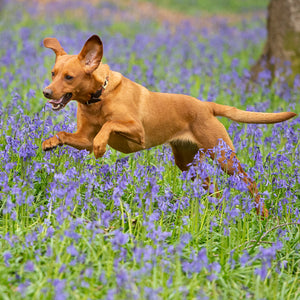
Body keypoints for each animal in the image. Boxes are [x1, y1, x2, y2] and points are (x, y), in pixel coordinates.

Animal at [42, 35, 298, 218]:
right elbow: (63, 134)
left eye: (69, 77)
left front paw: (101, 145)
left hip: (224, 156)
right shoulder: (82, 138)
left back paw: (263, 216)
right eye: (53, 73)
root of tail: (206, 106)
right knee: (215, 190)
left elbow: (109, 125)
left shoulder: (137, 133)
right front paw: (49, 143)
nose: (46, 92)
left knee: (250, 183)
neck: (98, 97)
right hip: (189, 165)